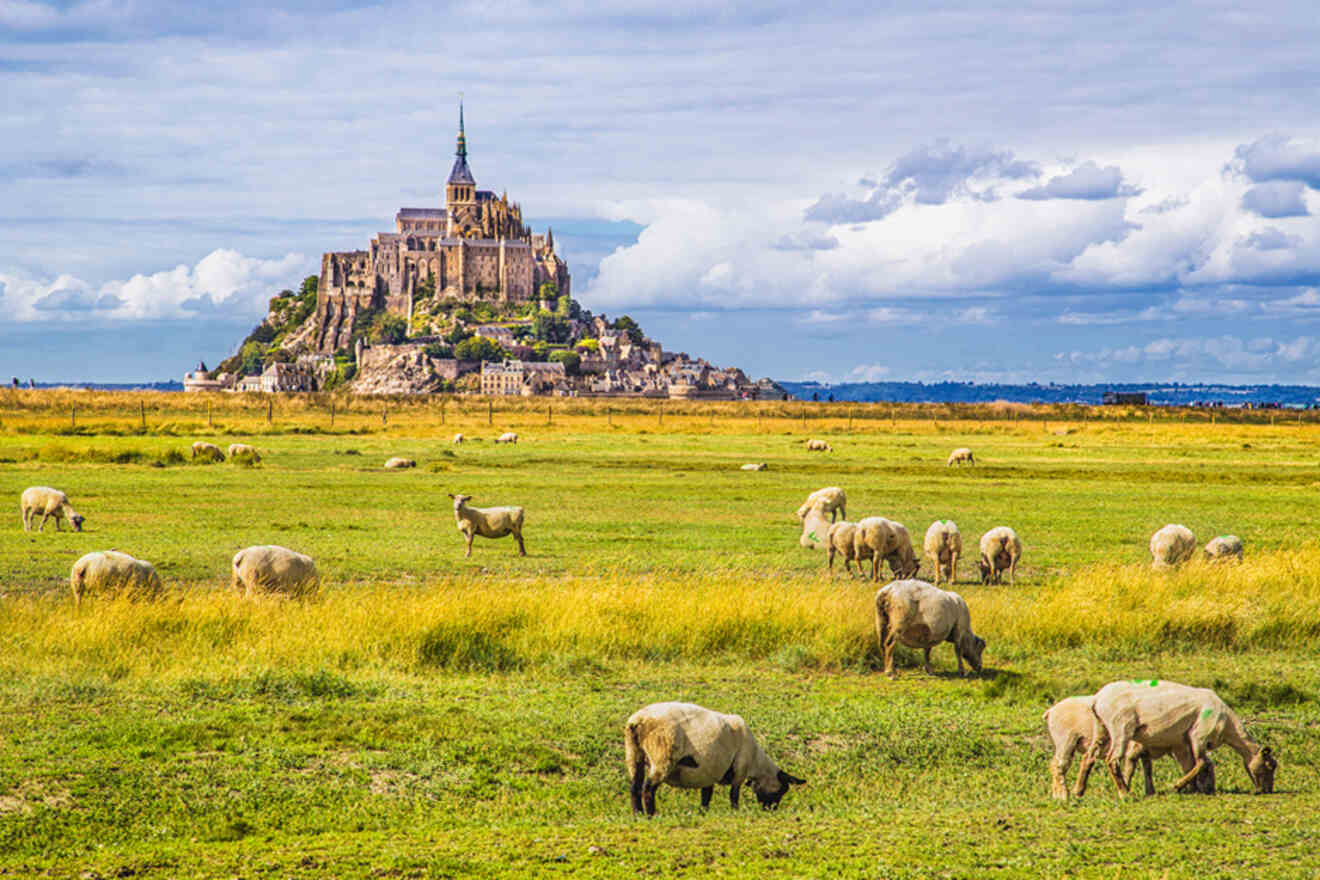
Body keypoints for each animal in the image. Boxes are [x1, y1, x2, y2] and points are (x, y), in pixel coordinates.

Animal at [625, 701, 807, 817]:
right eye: (781, 791)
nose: (770, 810)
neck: (757, 761)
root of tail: (638, 721)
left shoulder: (709, 771)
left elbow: (706, 795)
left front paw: (703, 812)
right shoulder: (740, 769)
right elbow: (734, 795)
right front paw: (735, 811)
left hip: (633, 753)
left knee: (635, 786)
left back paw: (637, 814)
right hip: (662, 755)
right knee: (648, 788)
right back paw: (651, 814)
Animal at [1040, 696, 1214, 802]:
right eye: (1208, 771)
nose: (1211, 791)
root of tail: (1050, 711)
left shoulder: (1145, 752)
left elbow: (1148, 769)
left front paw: (1150, 791)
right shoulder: (1134, 751)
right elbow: (1129, 769)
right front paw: (1126, 789)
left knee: (1055, 765)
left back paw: (1057, 795)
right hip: (1066, 740)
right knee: (1059, 766)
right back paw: (1063, 795)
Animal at [1077, 680, 1272, 796]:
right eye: (1270, 765)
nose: (1266, 791)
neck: (1229, 728)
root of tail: (1097, 699)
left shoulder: (1182, 744)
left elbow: (1189, 765)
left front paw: (1191, 789)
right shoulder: (1198, 734)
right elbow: (1201, 763)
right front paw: (1178, 786)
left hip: (1101, 727)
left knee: (1089, 756)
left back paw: (1078, 790)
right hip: (1121, 727)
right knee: (1112, 759)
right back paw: (1124, 792)